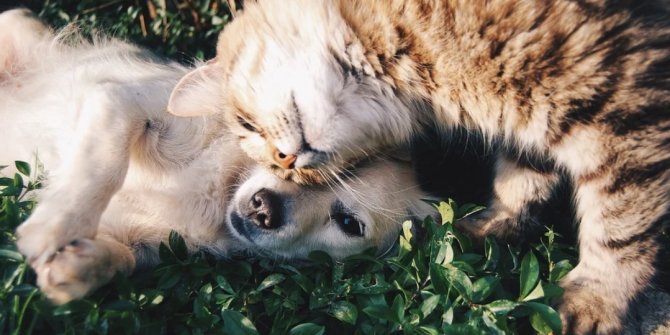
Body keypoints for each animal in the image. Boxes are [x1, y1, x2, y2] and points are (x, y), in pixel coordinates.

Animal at [2, 9, 436, 304]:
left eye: (348, 223)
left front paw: (77, 267)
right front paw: (55, 226)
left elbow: (122, 259)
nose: (264, 208)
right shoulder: (121, 101)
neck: (220, 191)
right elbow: (102, 166)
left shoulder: (146, 244)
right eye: (284, 158)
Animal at [168, 0, 670, 334]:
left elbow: (619, 226)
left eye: (247, 125)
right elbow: (521, 180)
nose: (287, 161)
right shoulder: (534, 122)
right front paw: (492, 228)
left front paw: (597, 300)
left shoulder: (623, 107)